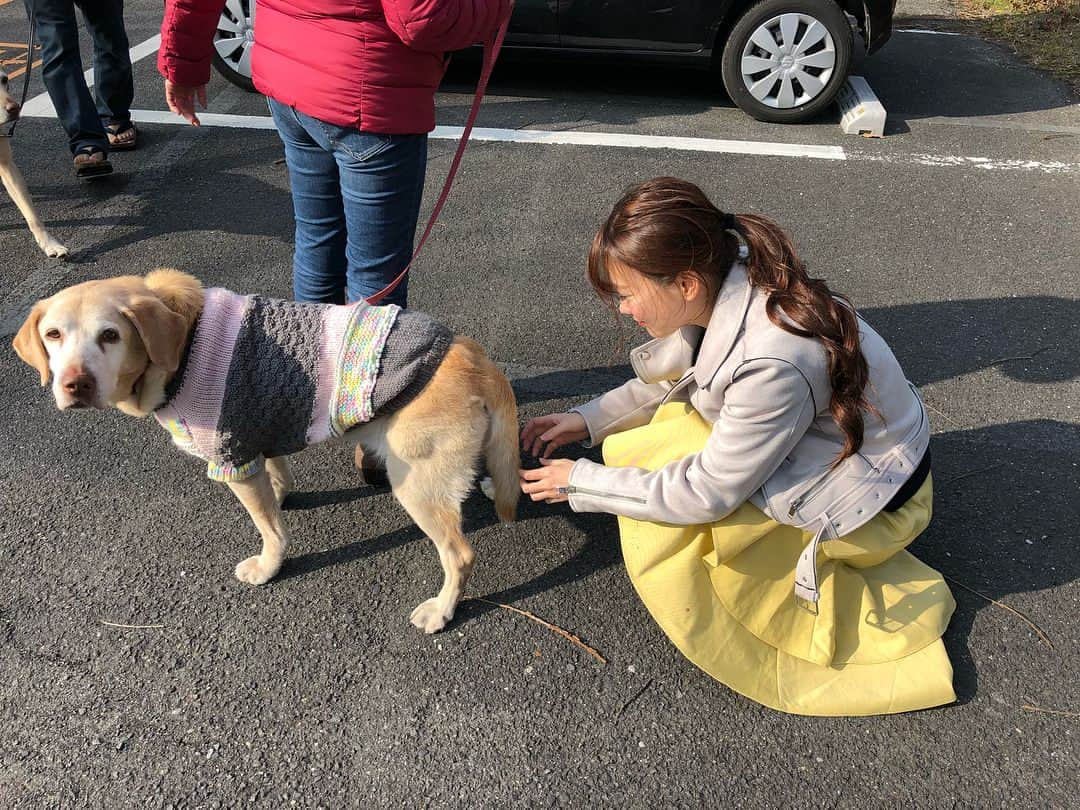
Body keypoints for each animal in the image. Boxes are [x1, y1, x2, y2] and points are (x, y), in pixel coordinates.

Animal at [12, 273, 518, 635]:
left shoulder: (232, 456)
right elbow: (276, 474)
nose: (74, 384)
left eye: (111, 335)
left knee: (459, 555)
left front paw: (269, 564)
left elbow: (269, 529)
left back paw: (442, 609)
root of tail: (475, 356)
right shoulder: (260, 430)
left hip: (416, 484)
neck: (184, 339)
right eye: (53, 335)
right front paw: (280, 490)